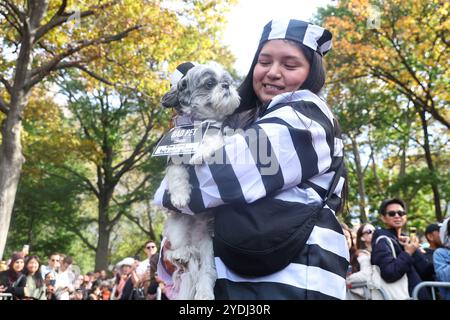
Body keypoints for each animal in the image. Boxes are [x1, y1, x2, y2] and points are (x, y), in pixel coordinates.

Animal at [160, 63, 241, 300]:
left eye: (227, 81)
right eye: (209, 83)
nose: (226, 86)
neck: (199, 124)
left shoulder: (220, 135)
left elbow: (212, 139)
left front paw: (200, 153)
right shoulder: (173, 156)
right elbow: (177, 175)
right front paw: (179, 196)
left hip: (208, 247)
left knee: (206, 272)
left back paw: (204, 293)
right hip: (177, 228)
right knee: (176, 252)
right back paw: (182, 255)